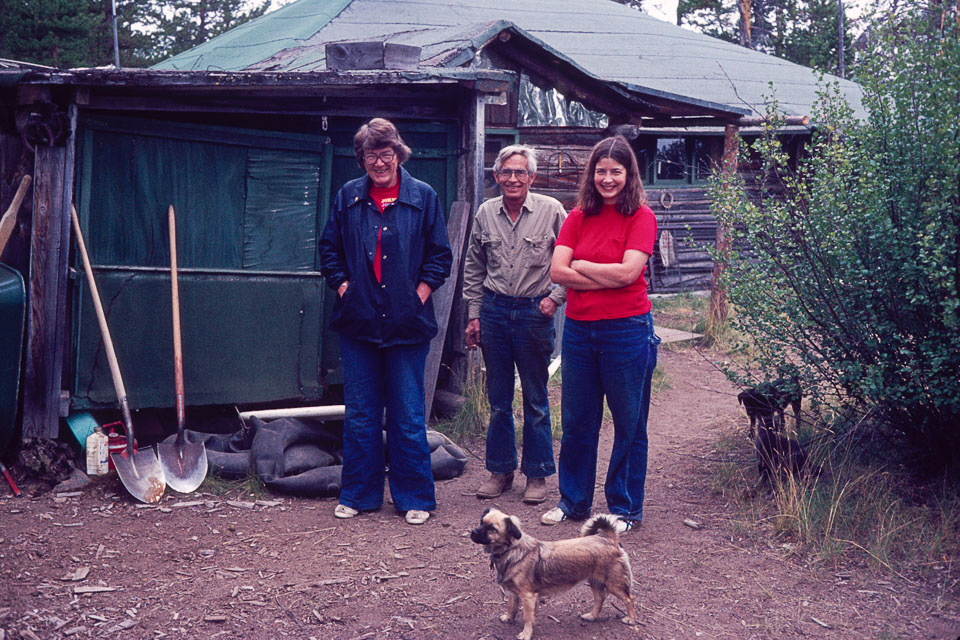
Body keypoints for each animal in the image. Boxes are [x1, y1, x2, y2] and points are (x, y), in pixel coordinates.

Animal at [466, 508, 632, 636]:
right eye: (481, 522)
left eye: (492, 529)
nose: (473, 532)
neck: (511, 550)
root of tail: (608, 537)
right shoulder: (513, 593)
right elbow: (511, 606)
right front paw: (508, 618)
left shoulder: (528, 596)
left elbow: (527, 618)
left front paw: (526, 634)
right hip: (595, 581)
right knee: (600, 599)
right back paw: (592, 616)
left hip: (614, 583)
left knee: (629, 599)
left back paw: (630, 619)